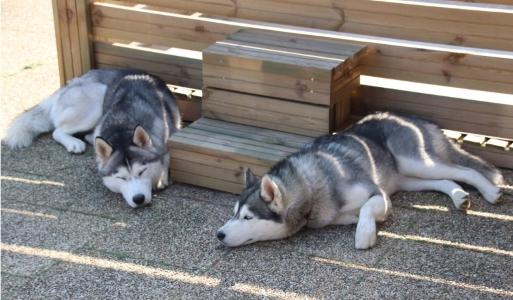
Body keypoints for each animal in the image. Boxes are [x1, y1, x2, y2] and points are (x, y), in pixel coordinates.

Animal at [3, 69, 180, 207]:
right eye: (121, 178)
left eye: (142, 172)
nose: (139, 199)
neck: (123, 125)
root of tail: (71, 82)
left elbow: (166, 156)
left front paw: (162, 177)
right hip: (96, 98)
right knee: (57, 130)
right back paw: (74, 143)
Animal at [215, 112, 500, 248]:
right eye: (233, 213)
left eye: (248, 218)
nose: (219, 234)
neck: (311, 184)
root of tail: (412, 117)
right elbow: (360, 214)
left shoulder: (377, 193)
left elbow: (367, 208)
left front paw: (365, 234)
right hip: (407, 178)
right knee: (444, 180)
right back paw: (459, 196)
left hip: (415, 162)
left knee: (464, 170)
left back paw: (490, 191)